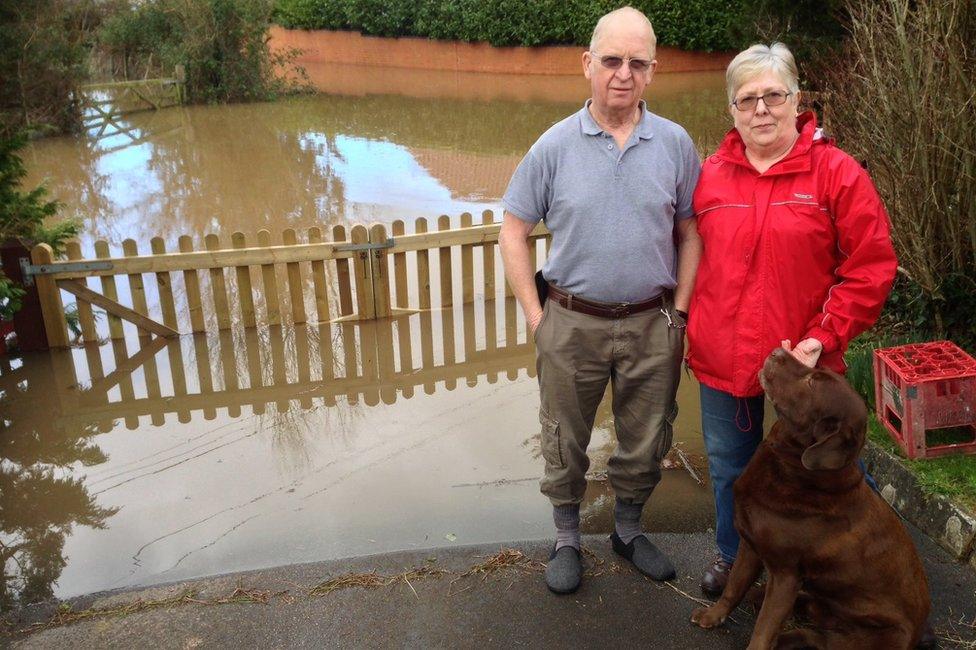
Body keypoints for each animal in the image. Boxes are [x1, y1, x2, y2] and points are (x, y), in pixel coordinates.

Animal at [692, 346, 928, 644]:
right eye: (817, 371)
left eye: (812, 382)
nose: (777, 351)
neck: (797, 471)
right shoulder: (750, 543)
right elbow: (734, 586)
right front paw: (713, 615)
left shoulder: (786, 574)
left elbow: (762, 632)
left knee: (803, 636)